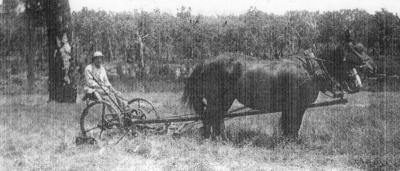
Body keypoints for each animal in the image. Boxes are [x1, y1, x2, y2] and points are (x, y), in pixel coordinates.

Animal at [183, 42, 376, 140]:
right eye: (357, 50)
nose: (372, 67)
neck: (309, 68)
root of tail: (204, 62)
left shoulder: (293, 106)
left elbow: (290, 124)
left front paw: (288, 140)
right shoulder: (297, 105)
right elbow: (293, 123)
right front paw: (292, 142)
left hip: (224, 99)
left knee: (216, 117)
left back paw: (219, 138)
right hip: (219, 98)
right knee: (211, 116)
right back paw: (212, 138)